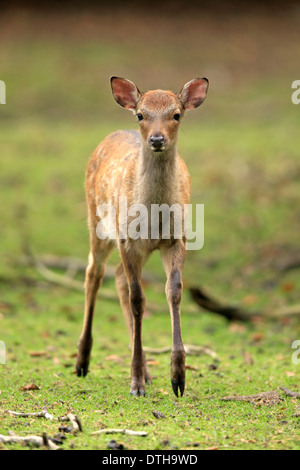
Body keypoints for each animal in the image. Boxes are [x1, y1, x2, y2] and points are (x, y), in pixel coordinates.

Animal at [75, 77, 209, 396]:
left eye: (176, 114)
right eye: (140, 114)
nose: (157, 139)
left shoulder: (177, 239)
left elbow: (174, 291)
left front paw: (178, 378)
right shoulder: (126, 239)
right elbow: (138, 300)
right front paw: (135, 382)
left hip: (143, 247)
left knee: (118, 279)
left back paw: (147, 372)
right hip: (97, 221)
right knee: (94, 274)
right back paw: (82, 362)